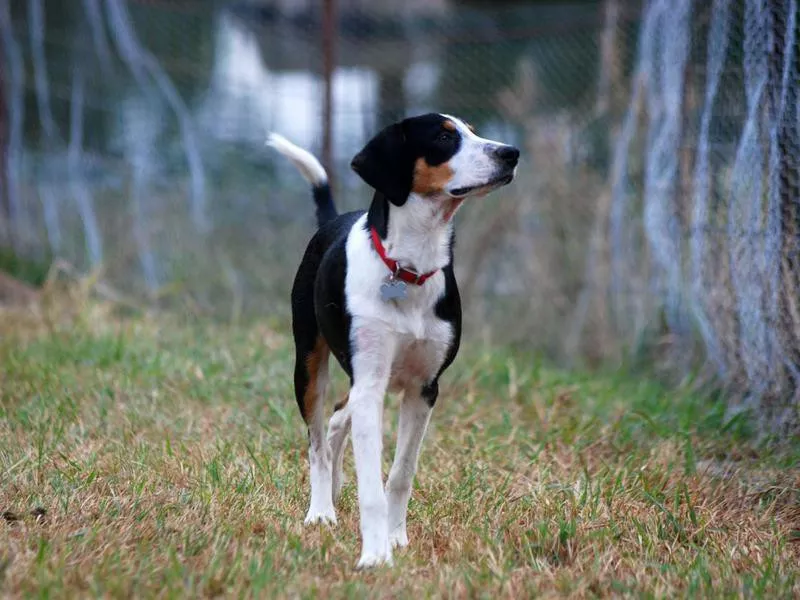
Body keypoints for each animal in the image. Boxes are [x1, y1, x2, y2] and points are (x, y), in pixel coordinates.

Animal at [268, 112, 520, 568]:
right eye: (443, 137)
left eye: (473, 131)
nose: (510, 153)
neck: (408, 268)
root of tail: (330, 221)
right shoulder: (370, 384)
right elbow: (370, 483)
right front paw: (374, 555)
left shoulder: (423, 389)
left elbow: (401, 474)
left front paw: (396, 537)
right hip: (309, 364)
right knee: (316, 441)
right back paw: (321, 511)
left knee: (337, 419)